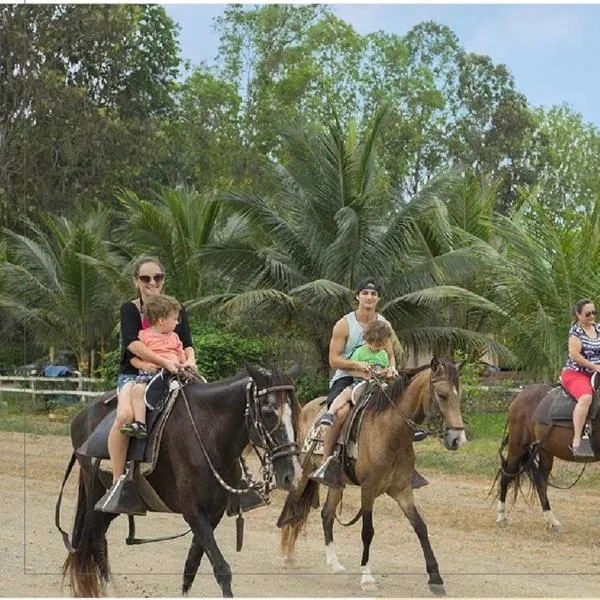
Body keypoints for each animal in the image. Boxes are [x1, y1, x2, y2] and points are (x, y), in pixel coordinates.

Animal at [56, 364, 302, 596]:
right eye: (268, 412)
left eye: (295, 414)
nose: (291, 475)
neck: (207, 432)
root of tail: (80, 417)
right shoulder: (193, 512)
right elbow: (221, 568)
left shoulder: (213, 514)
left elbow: (191, 566)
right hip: (96, 493)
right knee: (96, 540)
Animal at [278, 356, 468, 596]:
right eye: (442, 395)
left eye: (459, 396)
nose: (457, 439)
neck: (390, 433)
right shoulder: (368, 490)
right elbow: (367, 531)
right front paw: (367, 577)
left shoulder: (402, 489)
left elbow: (420, 527)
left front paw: (435, 578)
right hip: (302, 473)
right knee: (293, 507)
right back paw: (287, 556)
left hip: (336, 483)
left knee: (327, 515)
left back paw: (335, 564)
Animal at [494, 384, 600, 528]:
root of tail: (520, 395)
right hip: (518, 447)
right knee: (506, 476)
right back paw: (501, 516)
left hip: (545, 450)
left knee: (541, 482)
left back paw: (551, 520)